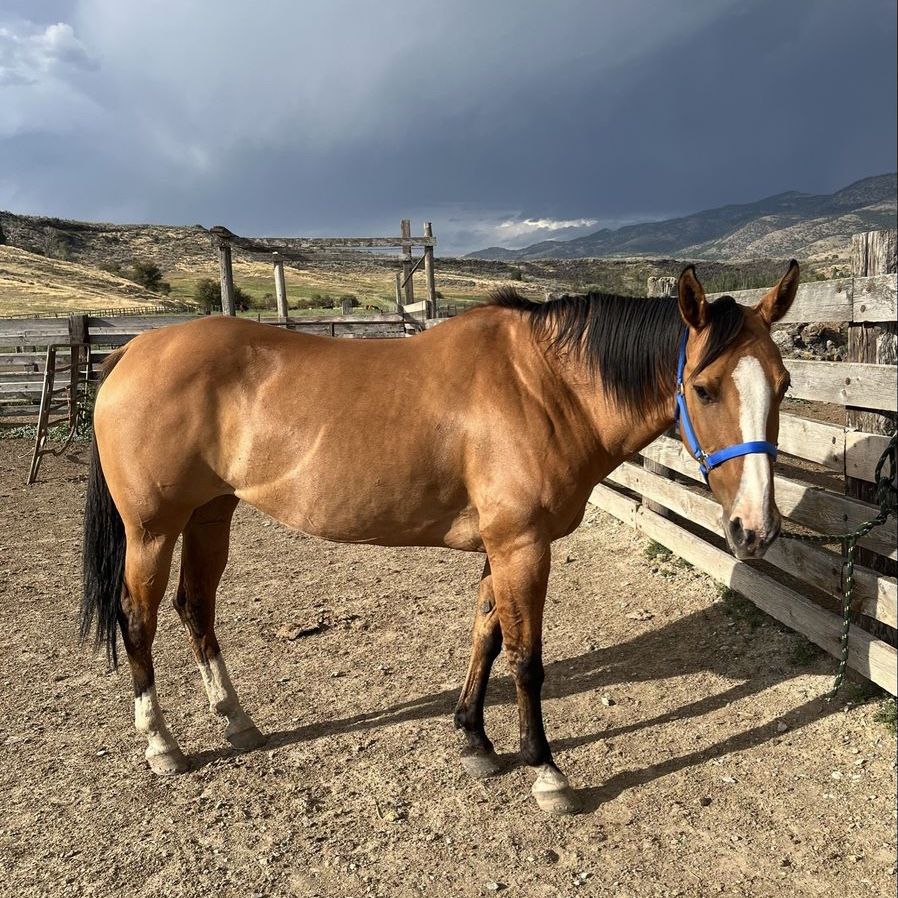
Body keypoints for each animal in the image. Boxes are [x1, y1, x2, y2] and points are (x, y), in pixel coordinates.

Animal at [81, 261, 798, 814]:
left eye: (784, 384)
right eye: (703, 388)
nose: (756, 529)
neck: (543, 386)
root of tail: (131, 352)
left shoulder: (500, 547)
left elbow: (486, 636)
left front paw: (473, 740)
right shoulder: (522, 546)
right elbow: (526, 660)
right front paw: (545, 772)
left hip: (211, 515)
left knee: (195, 609)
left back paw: (236, 721)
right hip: (152, 530)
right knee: (137, 618)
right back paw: (162, 745)